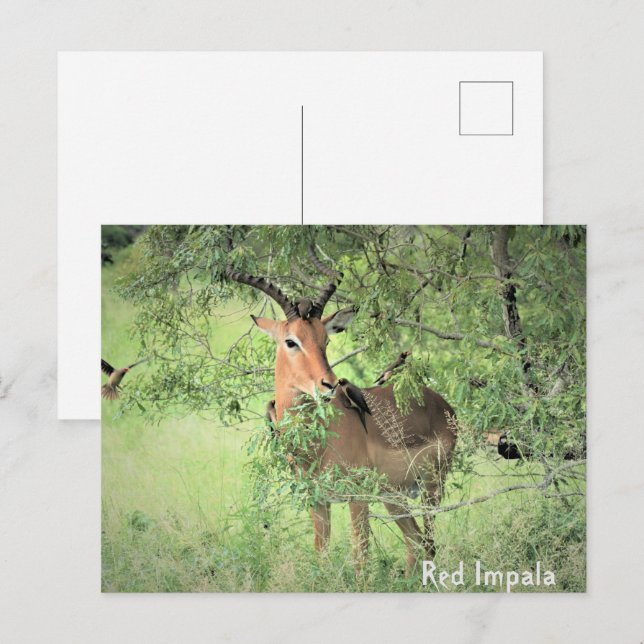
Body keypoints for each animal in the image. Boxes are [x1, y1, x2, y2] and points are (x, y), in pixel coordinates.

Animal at [226, 253, 457, 574]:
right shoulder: (318, 500)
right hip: (394, 496)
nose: (330, 384)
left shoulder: (357, 497)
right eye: (291, 341)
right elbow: (321, 555)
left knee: (429, 544)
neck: (316, 445)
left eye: (325, 340)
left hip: (430, 488)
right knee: (417, 543)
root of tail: (443, 405)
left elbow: (360, 558)